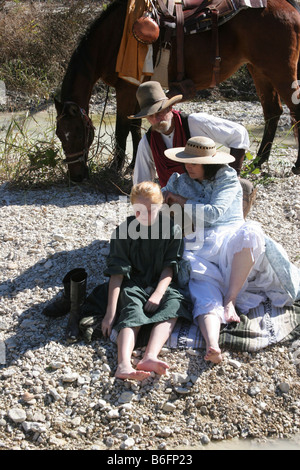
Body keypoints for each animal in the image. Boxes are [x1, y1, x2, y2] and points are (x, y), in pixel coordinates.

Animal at [55, 0, 300, 183]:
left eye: (78, 133)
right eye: (59, 134)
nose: (76, 177)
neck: (112, 39)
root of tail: (289, 8)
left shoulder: (126, 88)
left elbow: (122, 129)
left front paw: (115, 168)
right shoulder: (136, 89)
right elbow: (136, 128)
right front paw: (132, 165)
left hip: (280, 70)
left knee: (294, 111)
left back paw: (295, 166)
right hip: (258, 70)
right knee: (272, 112)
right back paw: (258, 161)